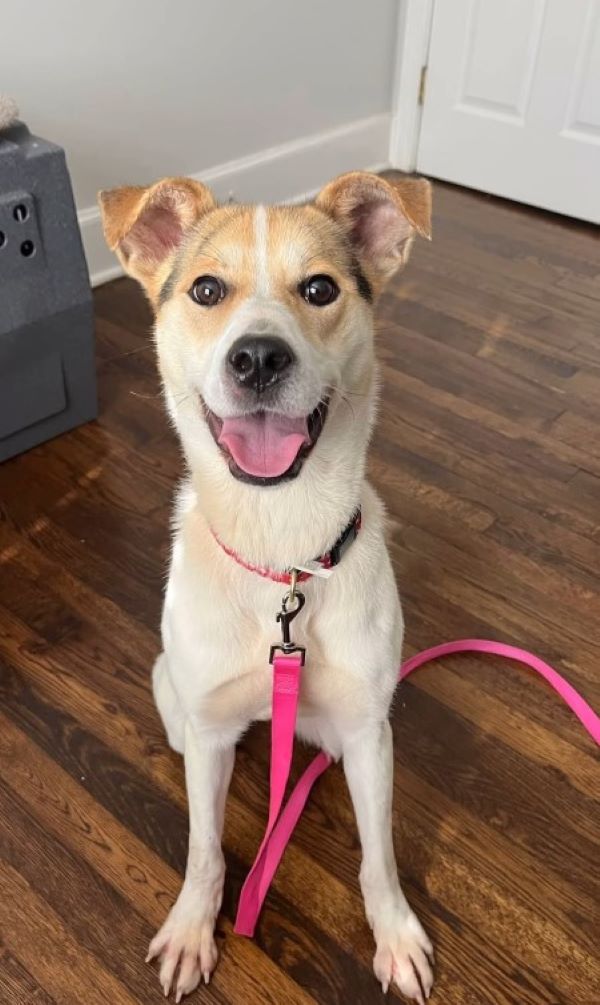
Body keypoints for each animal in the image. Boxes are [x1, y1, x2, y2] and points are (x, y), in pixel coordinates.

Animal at [100, 168, 432, 1000]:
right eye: (206, 289)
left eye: (319, 289)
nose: (257, 358)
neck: (280, 555)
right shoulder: (211, 732)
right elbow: (203, 849)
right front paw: (193, 925)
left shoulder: (370, 731)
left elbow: (379, 856)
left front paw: (394, 933)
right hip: (174, 696)